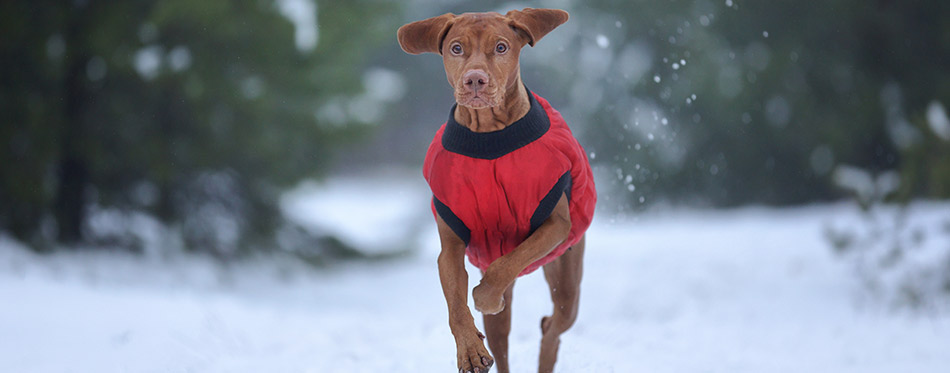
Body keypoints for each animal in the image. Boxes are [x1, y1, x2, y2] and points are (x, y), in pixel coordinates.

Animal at [396, 8, 596, 372]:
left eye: (501, 47)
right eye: (456, 48)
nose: (475, 79)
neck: (488, 134)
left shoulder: (556, 225)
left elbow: (507, 264)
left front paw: (484, 295)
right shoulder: (451, 244)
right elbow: (457, 306)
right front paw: (470, 350)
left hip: (566, 279)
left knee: (554, 324)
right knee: (502, 341)